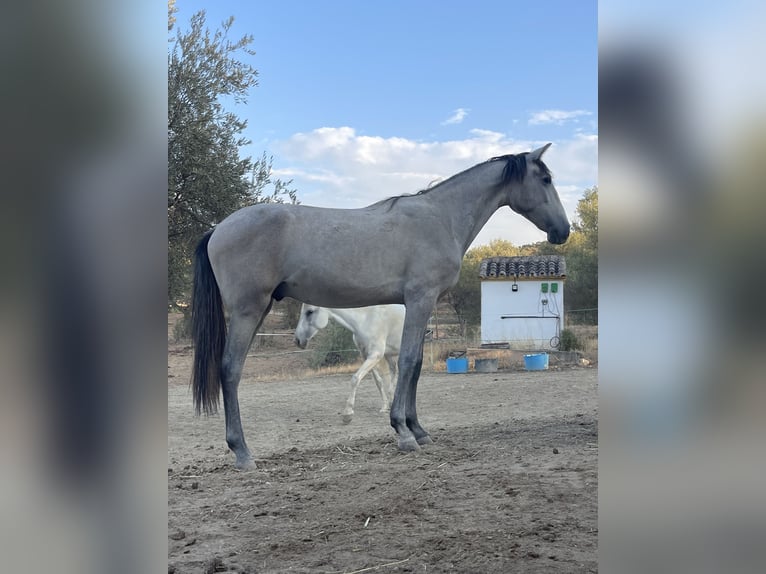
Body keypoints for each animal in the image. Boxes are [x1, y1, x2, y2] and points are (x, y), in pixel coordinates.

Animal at [194, 142, 568, 470]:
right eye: (545, 179)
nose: (563, 231)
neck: (440, 218)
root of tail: (218, 229)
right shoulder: (420, 299)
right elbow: (408, 361)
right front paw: (403, 431)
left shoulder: (422, 307)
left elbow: (415, 365)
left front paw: (418, 429)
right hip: (248, 310)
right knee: (230, 369)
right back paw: (242, 453)